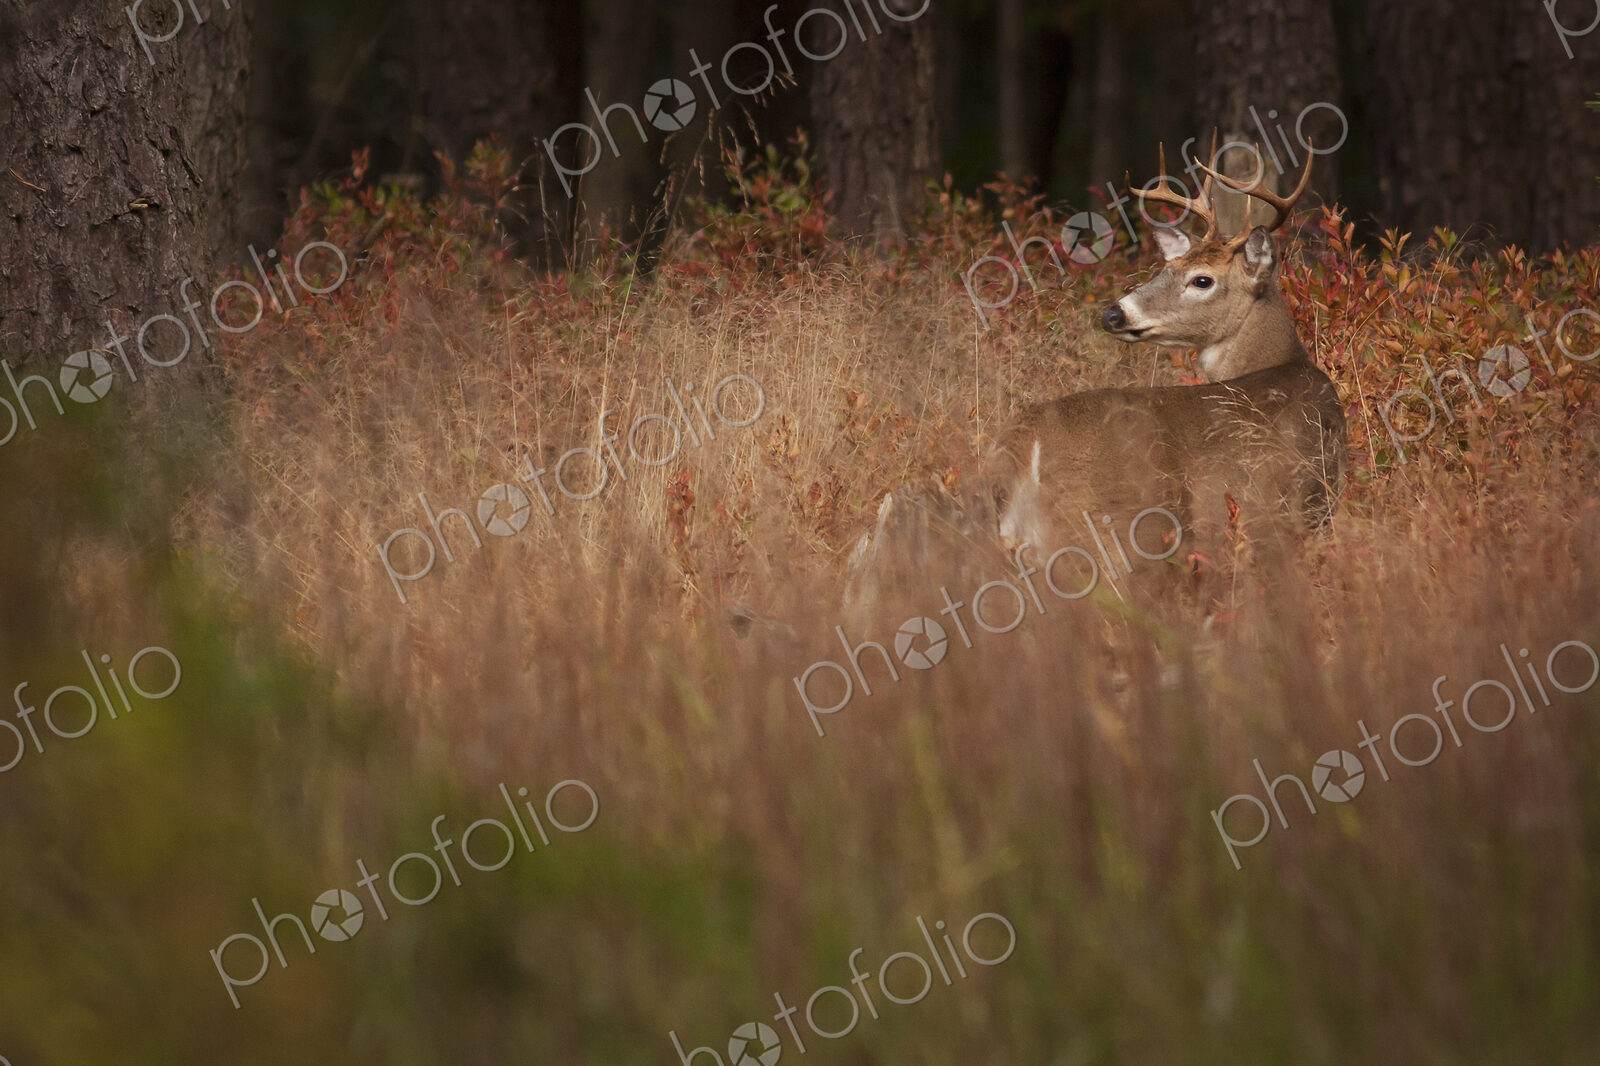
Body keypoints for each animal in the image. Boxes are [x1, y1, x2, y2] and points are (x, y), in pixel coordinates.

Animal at [990, 139, 1347, 597]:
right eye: (1166, 268)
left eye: (1202, 280)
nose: (1113, 314)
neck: (1285, 361)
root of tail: (1025, 446)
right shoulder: (1301, 505)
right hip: (1120, 532)